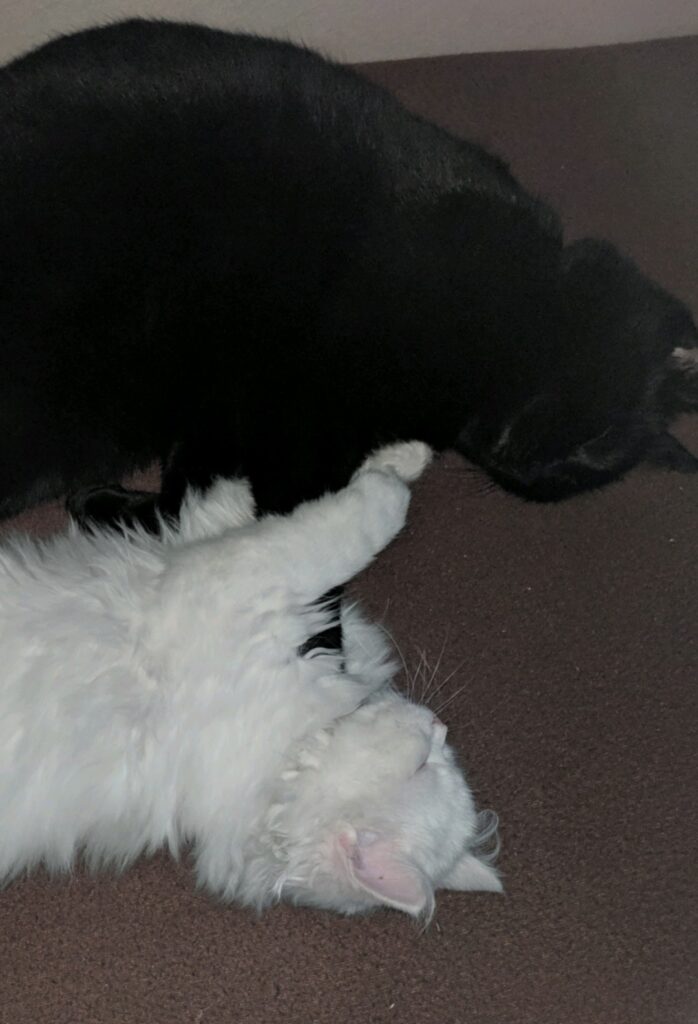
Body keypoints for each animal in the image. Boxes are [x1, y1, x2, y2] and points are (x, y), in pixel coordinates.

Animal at [0, 18, 695, 531]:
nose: (529, 463)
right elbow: (248, 504)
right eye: (592, 436)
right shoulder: (291, 410)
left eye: (587, 460)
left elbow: (195, 491)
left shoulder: (232, 403)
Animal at [0, 440, 502, 917]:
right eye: (425, 762)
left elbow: (328, 526)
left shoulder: (222, 576)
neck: (286, 754)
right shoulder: (236, 571)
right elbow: (289, 522)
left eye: (437, 757)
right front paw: (397, 462)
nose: (439, 726)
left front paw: (390, 474)